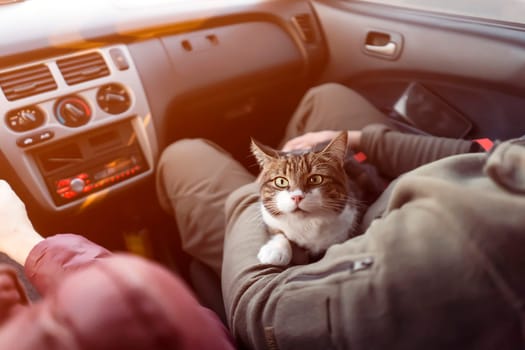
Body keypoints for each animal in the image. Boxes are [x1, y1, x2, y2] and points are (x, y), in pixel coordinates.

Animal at [250, 131, 360, 266]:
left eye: (315, 179)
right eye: (281, 181)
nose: (297, 197)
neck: (307, 224)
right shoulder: (269, 218)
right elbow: (278, 231)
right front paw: (275, 249)